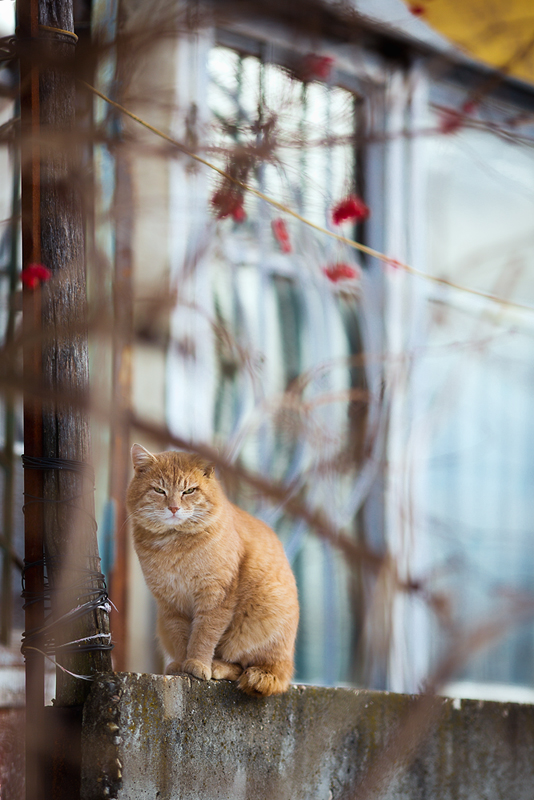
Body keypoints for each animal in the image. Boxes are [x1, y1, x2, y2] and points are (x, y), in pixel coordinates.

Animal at [126, 444, 302, 692]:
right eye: (159, 490)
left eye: (189, 490)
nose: (173, 508)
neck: (173, 546)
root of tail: (286, 667)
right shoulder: (170, 603)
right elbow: (181, 636)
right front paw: (181, 664)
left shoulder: (216, 596)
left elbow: (204, 634)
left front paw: (198, 663)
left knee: (245, 667)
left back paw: (217, 666)